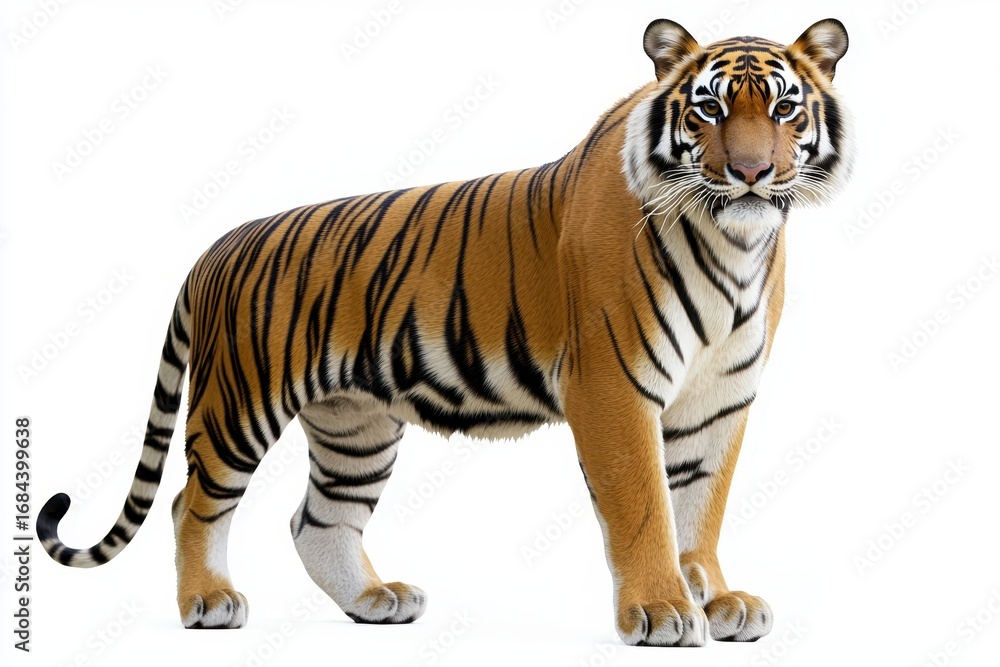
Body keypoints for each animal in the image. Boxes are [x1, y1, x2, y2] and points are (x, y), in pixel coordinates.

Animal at [38, 18, 853, 646]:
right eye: (709, 110)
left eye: (785, 109)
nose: (751, 172)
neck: (734, 241)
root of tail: (215, 248)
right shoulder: (614, 387)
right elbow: (646, 505)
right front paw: (659, 610)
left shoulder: (718, 399)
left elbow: (699, 506)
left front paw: (715, 599)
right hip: (239, 402)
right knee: (193, 501)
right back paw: (208, 601)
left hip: (355, 425)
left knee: (317, 521)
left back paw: (376, 603)